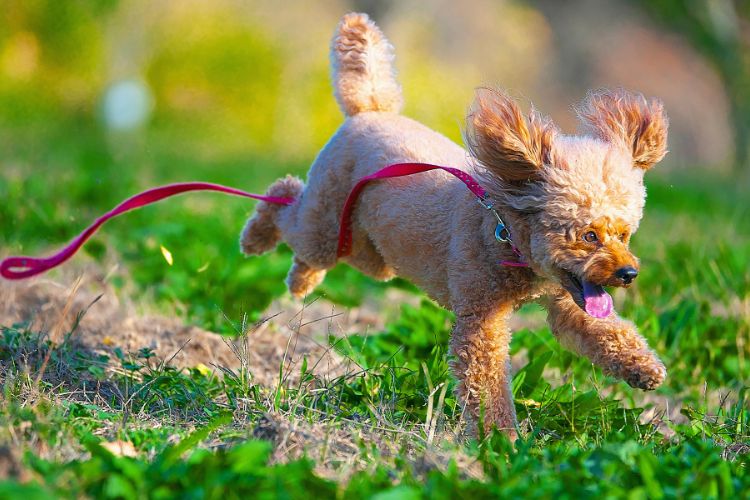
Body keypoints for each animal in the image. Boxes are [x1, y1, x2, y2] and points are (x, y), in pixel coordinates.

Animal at [241, 12, 668, 438]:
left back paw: (301, 279)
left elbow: (599, 328)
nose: (629, 273)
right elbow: (488, 381)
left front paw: (644, 368)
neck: (503, 228)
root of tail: (369, 110)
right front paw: (501, 440)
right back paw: (257, 240)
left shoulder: (567, 294)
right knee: (286, 200)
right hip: (328, 224)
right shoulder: (482, 320)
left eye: (624, 234)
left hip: (371, 250)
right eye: (588, 235)